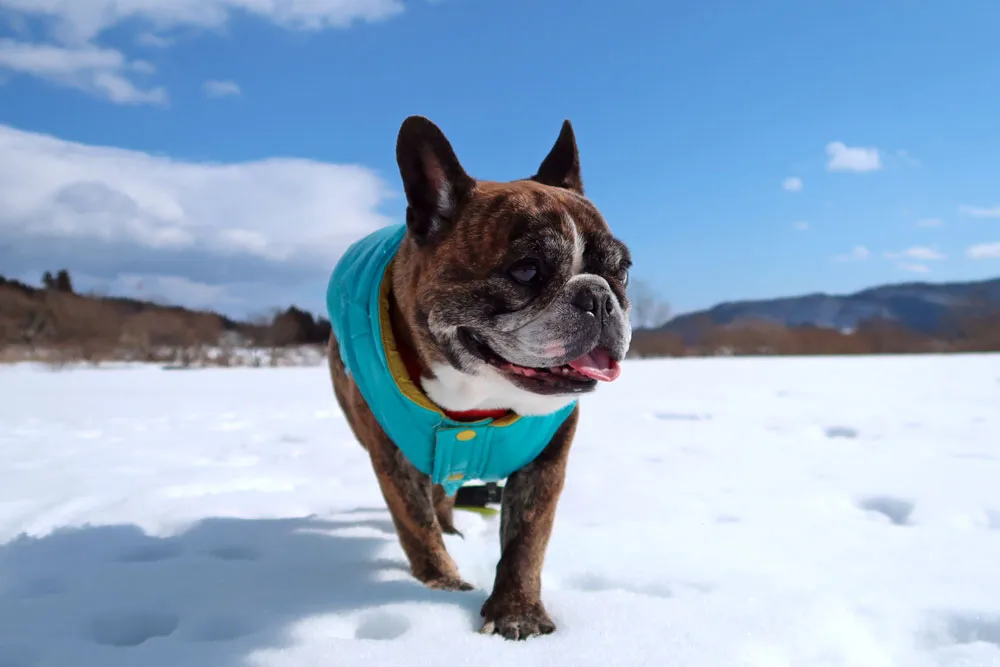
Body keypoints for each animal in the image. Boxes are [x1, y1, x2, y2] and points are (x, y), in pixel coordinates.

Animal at [324, 116, 628, 640]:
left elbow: (527, 538)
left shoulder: (547, 460)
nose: (598, 297)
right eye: (526, 271)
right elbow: (416, 525)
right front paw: (442, 588)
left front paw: (517, 613)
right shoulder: (392, 458)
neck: (478, 395)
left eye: (623, 271)